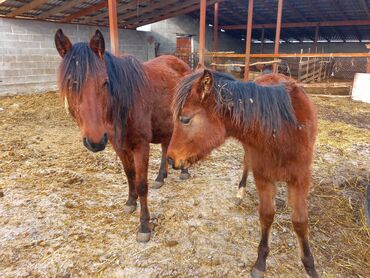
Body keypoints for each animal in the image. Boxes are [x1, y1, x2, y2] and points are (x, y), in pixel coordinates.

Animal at [55, 29, 191, 242]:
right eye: (71, 83)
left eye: (105, 82)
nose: (95, 141)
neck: (124, 103)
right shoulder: (118, 145)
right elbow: (130, 175)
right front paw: (130, 202)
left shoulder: (141, 146)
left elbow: (141, 184)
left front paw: (144, 226)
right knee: (165, 146)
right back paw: (161, 177)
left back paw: (183, 171)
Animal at [168, 68, 318, 276]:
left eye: (185, 119)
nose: (170, 159)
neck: (281, 130)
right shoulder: (263, 176)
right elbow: (267, 215)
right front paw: (260, 262)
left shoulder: (300, 179)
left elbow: (300, 222)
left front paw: (310, 265)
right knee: (246, 162)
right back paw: (240, 192)